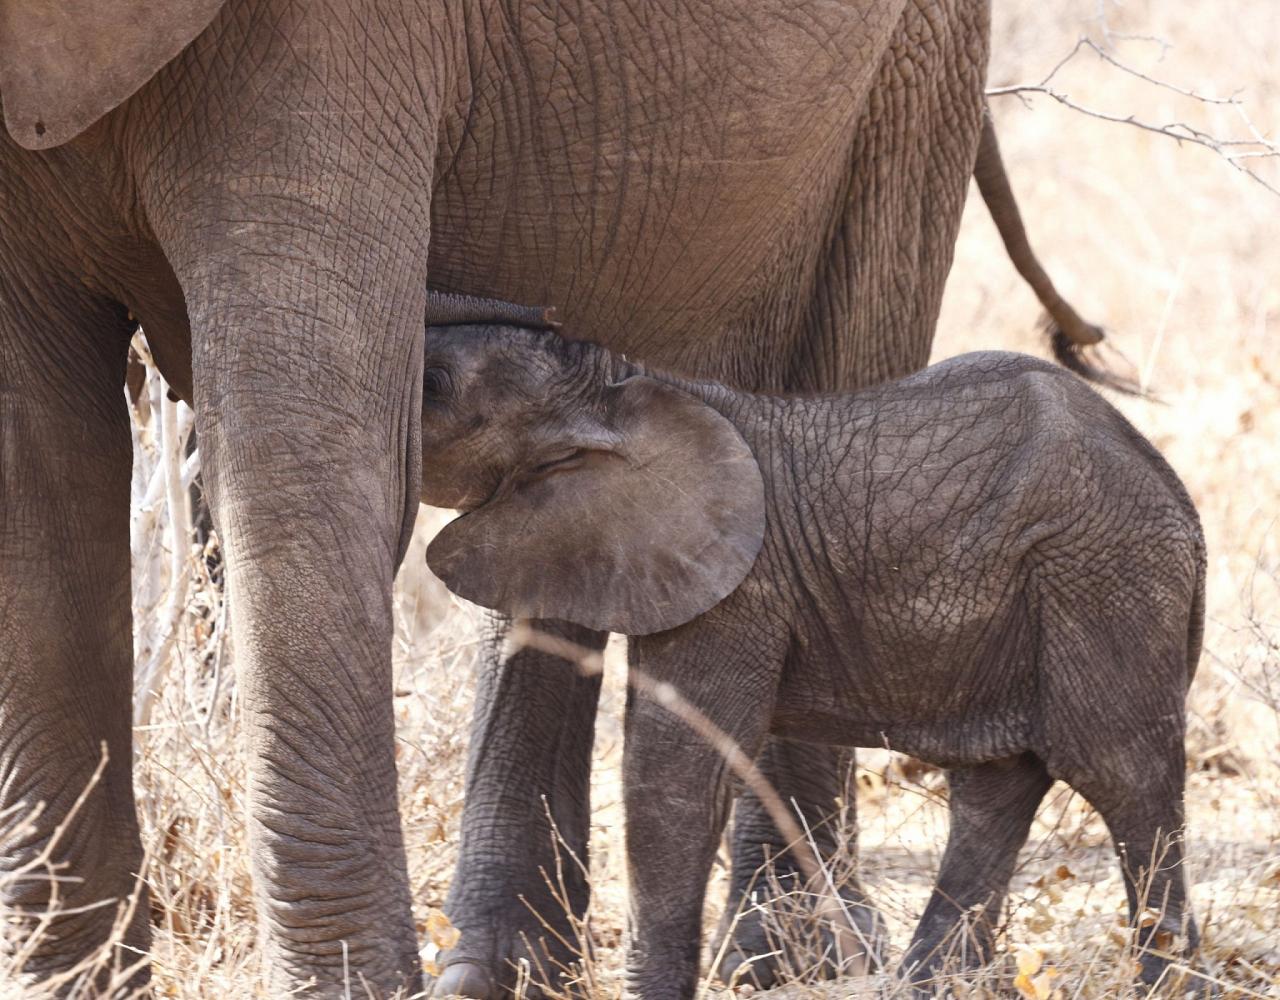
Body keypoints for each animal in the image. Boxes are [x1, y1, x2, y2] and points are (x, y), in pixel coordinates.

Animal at [0, 0, 1100, 993]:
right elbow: (40, 498)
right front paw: (69, 978)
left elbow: (308, 463)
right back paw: (509, 972)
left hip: (912, 69)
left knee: (841, 354)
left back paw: (785, 959)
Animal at [417, 300, 1198, 993]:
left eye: (436, 383)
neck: (621, 380)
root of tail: (1182, 506)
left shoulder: (738, 589)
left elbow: (675, 775)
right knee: (994, 788)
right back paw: (921, 987)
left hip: (1107, 579)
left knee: (1120, 772)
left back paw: (1169, 983)